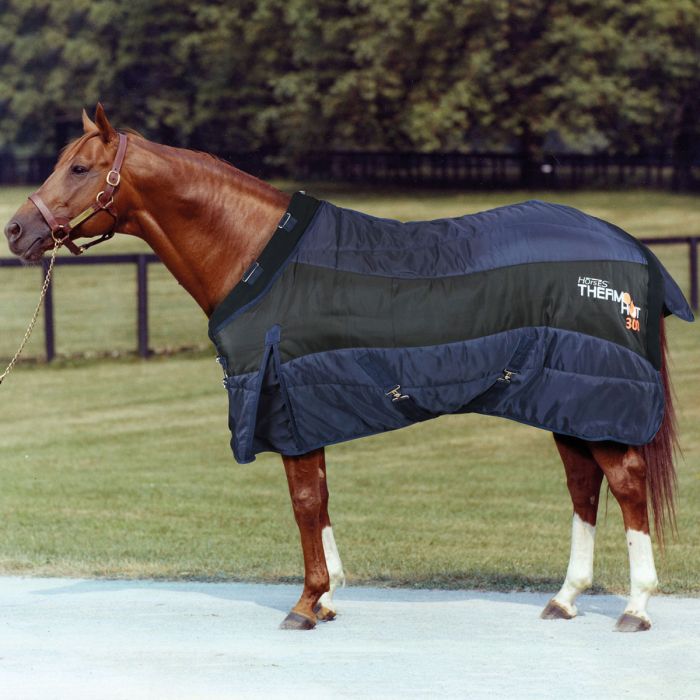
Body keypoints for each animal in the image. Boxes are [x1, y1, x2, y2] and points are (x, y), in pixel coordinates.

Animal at [4, 105, 693, 632]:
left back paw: (635, 607)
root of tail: (634, 253)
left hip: (596, 399)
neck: (256, 252)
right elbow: (321, 497)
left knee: (626, 483)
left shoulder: (285, 402)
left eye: (80, 167)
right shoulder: (307, 406)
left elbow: (305, 501)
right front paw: (330, 595)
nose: (16, 229)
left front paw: (307, 603)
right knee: (583, 485)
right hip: (567, 400)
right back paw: (565, 598)